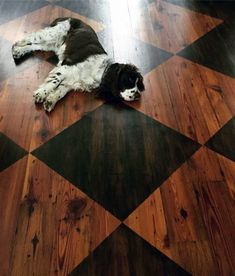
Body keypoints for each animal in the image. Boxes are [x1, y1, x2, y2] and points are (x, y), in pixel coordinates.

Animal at [12, 17, 146, 111]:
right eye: (129, 80)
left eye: (138, 84)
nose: (138, 96)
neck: (100, 70)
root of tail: (67, 17)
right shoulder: (66, 67)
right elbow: (54, 81)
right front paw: (41, 93)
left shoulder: (72, 81)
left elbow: (60, 91)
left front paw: (51, 100)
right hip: (50, 35)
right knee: (28, 38)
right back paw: (15, 48)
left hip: (50, 44)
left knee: (34, 46)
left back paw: (18, 52)